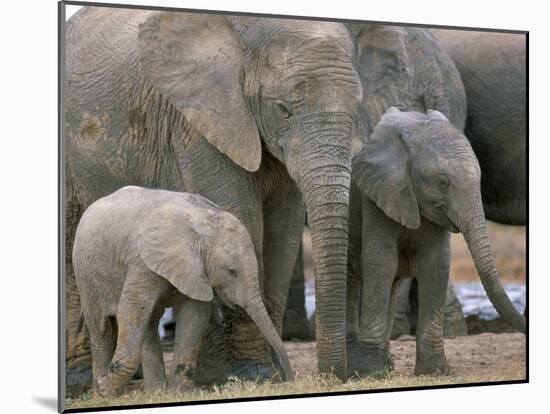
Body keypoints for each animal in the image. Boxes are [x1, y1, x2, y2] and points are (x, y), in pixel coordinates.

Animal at [76, 186, 298, 396]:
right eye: (231, 271)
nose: (288, 380)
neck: (203, 224)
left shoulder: (197, 270)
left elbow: (195, 316)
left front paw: (179, 393)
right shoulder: (142, 261)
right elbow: (131, 311)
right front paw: (104, 388)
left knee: (148, 321)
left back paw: (154, 392)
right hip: (87, 275)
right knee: (103, 327)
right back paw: (107, 393)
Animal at [350, 107, 528, 378]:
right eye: (443, 183)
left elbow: (435, 264)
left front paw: (434, 372)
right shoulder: (377, 194)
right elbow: (380, 261)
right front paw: (371, 374)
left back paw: (387, 367)